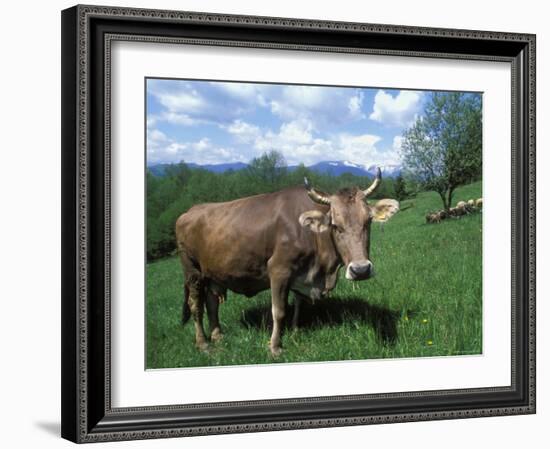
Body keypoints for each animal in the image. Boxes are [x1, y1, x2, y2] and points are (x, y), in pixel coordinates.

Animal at [177, 168, 402, 354]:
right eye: (335, 226)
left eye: (368, 221)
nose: (361, 270)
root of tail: (189, 211)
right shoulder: (278, 270)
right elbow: (279, 310)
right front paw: (275, 346)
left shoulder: (302, 274)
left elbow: (298, 304)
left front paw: (294, 331)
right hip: (192, 271)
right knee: (196, 305)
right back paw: (203, 343)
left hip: (213, 273)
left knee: (212, 302)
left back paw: (218, 336)